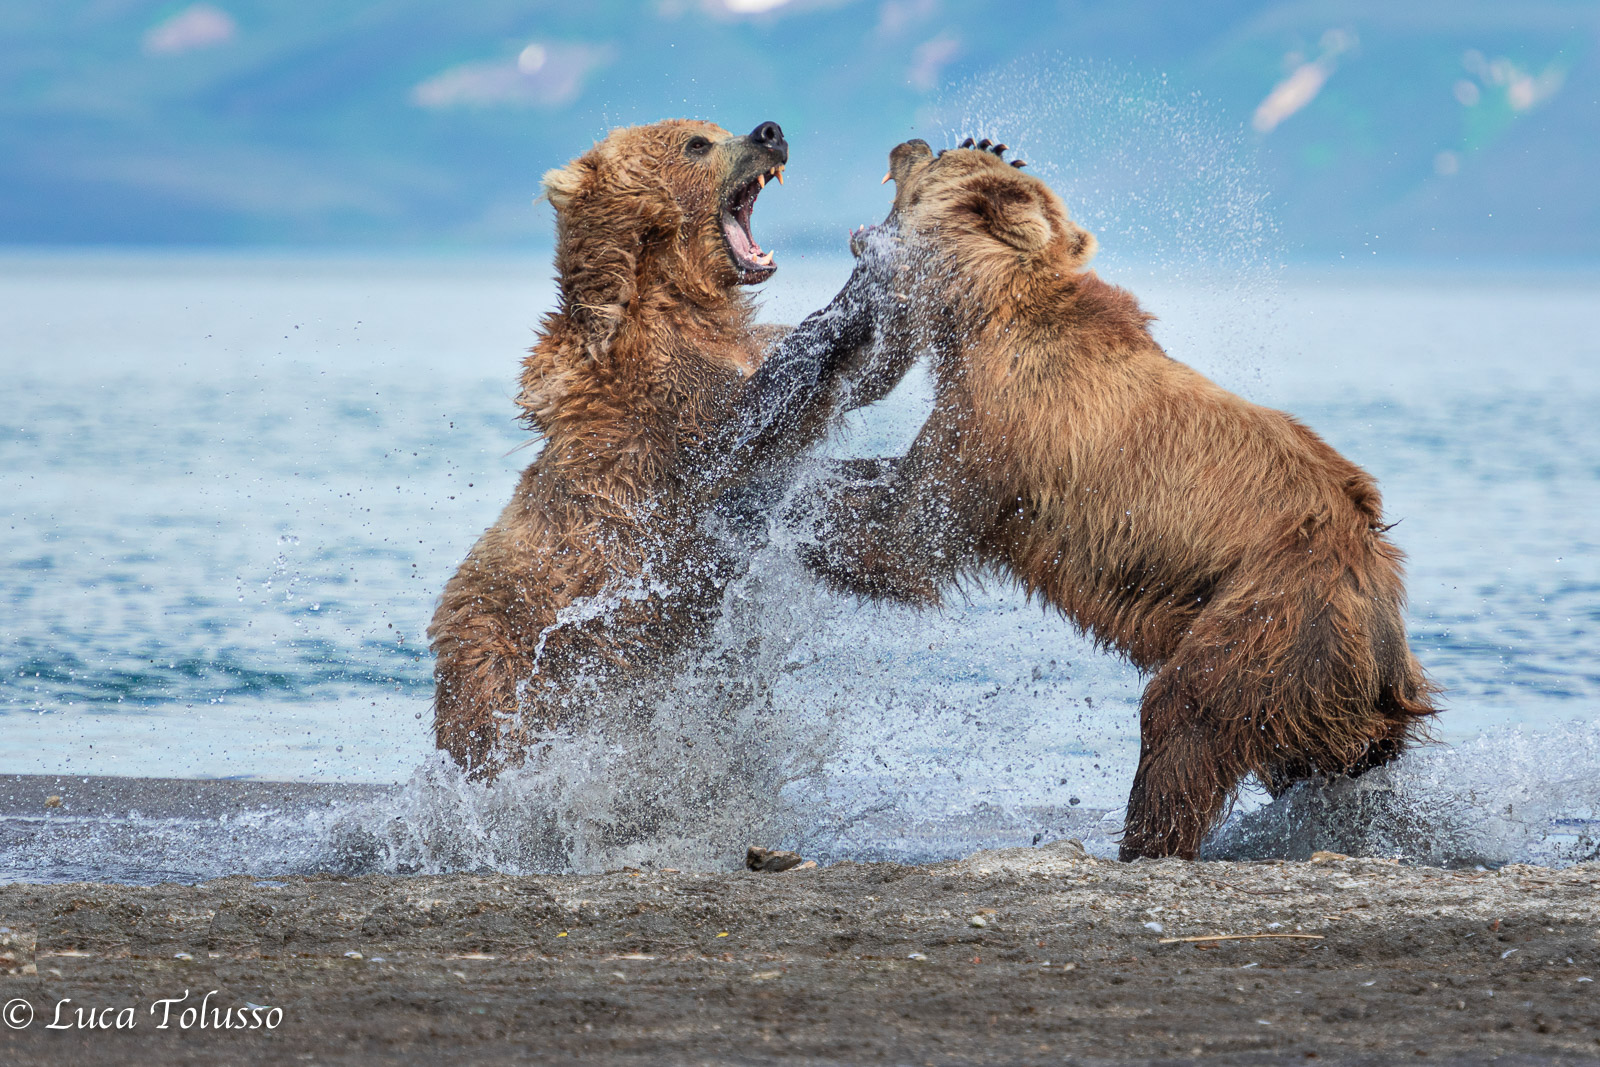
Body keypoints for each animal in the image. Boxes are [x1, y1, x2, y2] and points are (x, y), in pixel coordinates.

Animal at [428, 119, 903, 778]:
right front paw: (865, 277)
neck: (686, 299)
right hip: (510, 652)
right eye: (697, 144)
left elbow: (859, 378)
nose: (770, 131)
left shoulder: (742, 344)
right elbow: (738, 429)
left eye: (717, 129)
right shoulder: (658, 393)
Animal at [799, 138, 1440, 860]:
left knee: (1185, 718)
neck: (980, 312)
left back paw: (1146, 838)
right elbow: (892, 481)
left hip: (1269, 614)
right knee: (1320, 750)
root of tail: (1377, 578)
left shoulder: (1005, 427)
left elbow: (909, 529)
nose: (905, 144)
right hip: (1317, 672)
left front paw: (794, 508)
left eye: (936, 157)